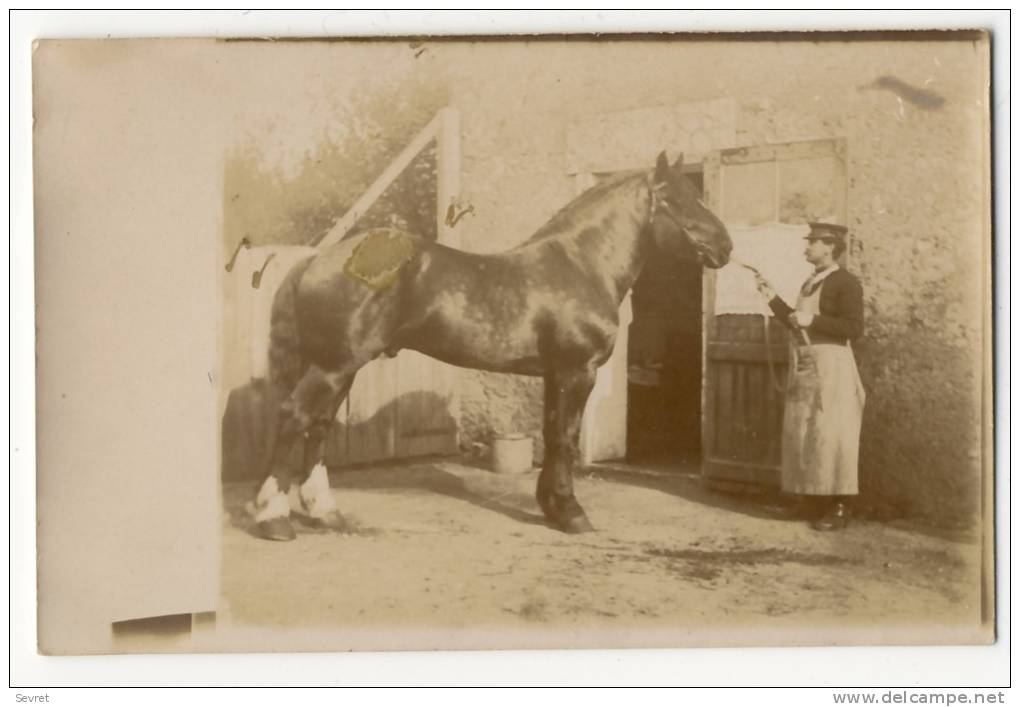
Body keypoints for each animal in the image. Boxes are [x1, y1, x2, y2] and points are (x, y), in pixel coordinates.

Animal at [255, 152, 734, 538]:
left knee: (318, 426)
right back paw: (274, 519)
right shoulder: (578, 371)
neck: (580, 264)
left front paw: (551, 507)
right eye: (679, 200)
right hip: (333, 366)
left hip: (341, 368)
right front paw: (572, 514)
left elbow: (553, 434)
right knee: (294, 417)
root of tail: (317, 259)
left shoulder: (554, 375)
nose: (726, 246)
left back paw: (324, 512)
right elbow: (566, 438)